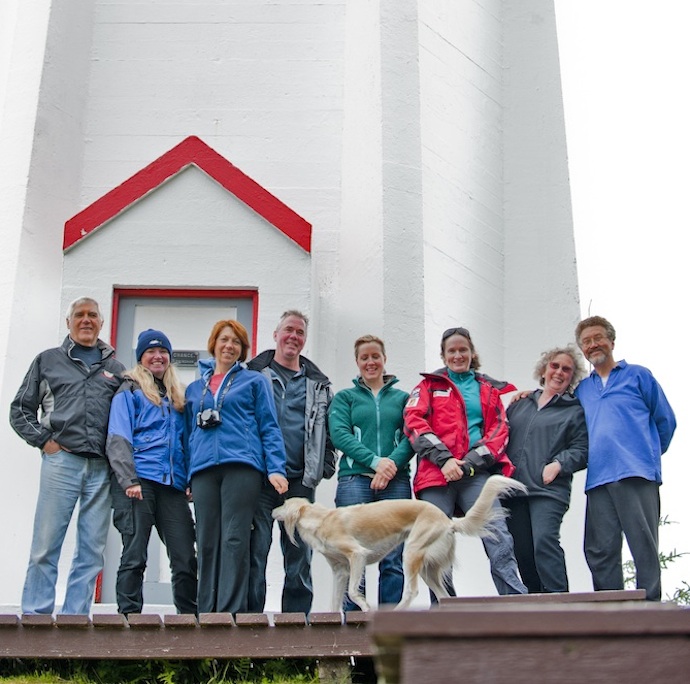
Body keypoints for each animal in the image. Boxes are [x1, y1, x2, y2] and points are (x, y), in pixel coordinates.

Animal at [272, 474, 527, 611]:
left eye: (283, 504)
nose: (272, 510)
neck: (321, 519)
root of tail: (447, 520)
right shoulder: (340, 570)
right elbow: (335, 601)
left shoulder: (357, 555)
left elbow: (353, 592)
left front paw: (365, 607)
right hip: (426, 567)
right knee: (443, 595)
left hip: (411, 553)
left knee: (411, 591)